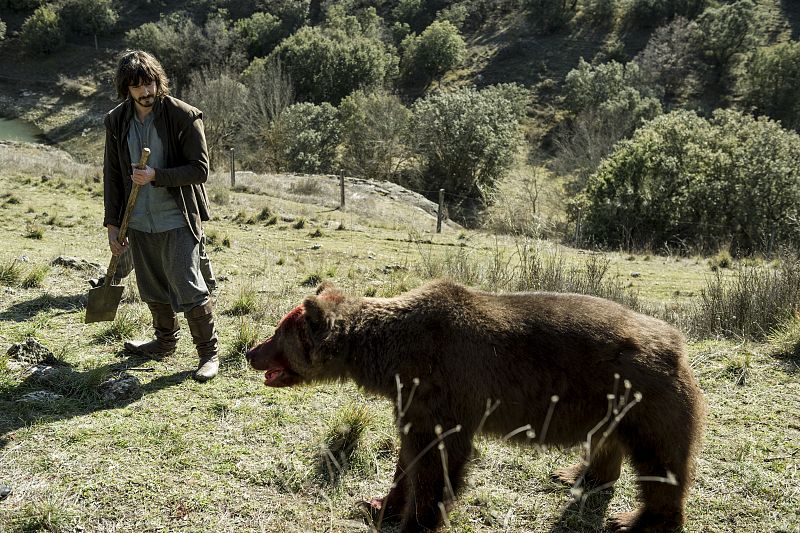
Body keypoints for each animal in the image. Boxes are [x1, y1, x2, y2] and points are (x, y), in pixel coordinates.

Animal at [246, 280, 705, 533]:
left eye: (278, 333)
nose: (251, 352)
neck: (391, 357)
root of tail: (677, 343)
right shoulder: (411, 402)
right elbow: (408, 459)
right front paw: (378, 505)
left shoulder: (443, 390)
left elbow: (437, 463)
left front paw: (416, 522)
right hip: (609, 403)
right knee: (609, 442)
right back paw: (578, 473)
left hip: (644, 398)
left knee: (660, 465)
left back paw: (635, 520)